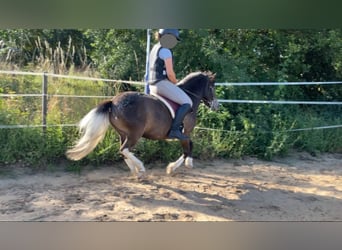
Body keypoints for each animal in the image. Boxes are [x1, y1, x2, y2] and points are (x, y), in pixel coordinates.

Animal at [66, 71, 219, 178]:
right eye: (212, 87)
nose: (216, 105)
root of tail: (113, 102)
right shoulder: (185, 132)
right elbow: (188, 148)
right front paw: (180, 165)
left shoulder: (183, 134)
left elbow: (188, 147)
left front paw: (178, 166)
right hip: (135, 133)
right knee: (124, 149)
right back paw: (140, 167)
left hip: (123, 134)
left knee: (123, 151)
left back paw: (135, 171)